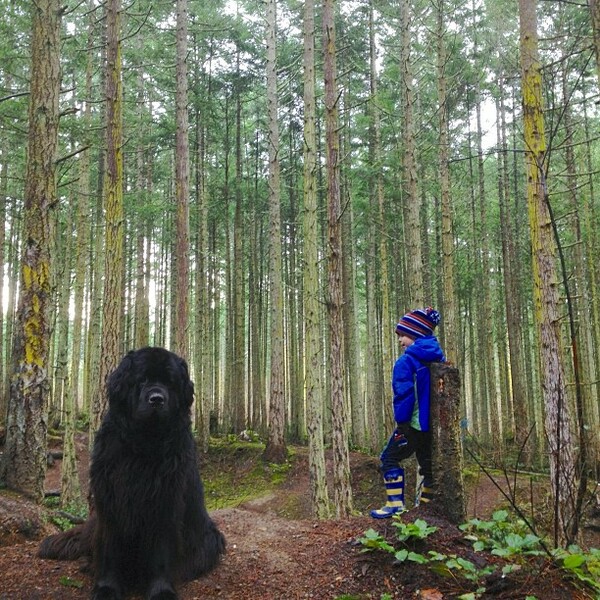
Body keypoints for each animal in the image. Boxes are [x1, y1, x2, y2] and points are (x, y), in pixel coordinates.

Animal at [38, 346, 225, 600]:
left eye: (170, 383)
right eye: (142, 380)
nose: (157, 399)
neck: (144, 443)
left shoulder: (165, 501)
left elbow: (161, 553)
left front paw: (161, 591)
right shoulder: (111, 500)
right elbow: (110, 549)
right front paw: (106, 588)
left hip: (210, 538)